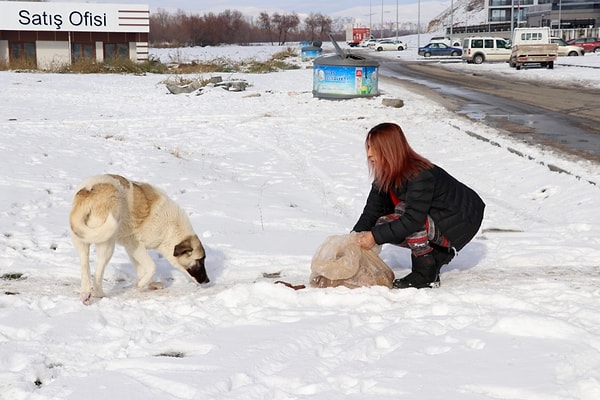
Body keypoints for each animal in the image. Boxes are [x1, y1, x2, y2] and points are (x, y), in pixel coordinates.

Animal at [69, 173, 210, 304]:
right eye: (200, 260)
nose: (208, 281)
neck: (171, 228)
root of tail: (87, 191)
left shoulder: (131, 249)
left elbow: (142, 269)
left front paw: (149, 284)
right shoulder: (136, 245)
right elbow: (152, 267)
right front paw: (140, 285)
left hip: (83, 240)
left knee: (85, 267)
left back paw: (85, 294)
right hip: (107, 245)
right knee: (98, 273)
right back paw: (100, 295)